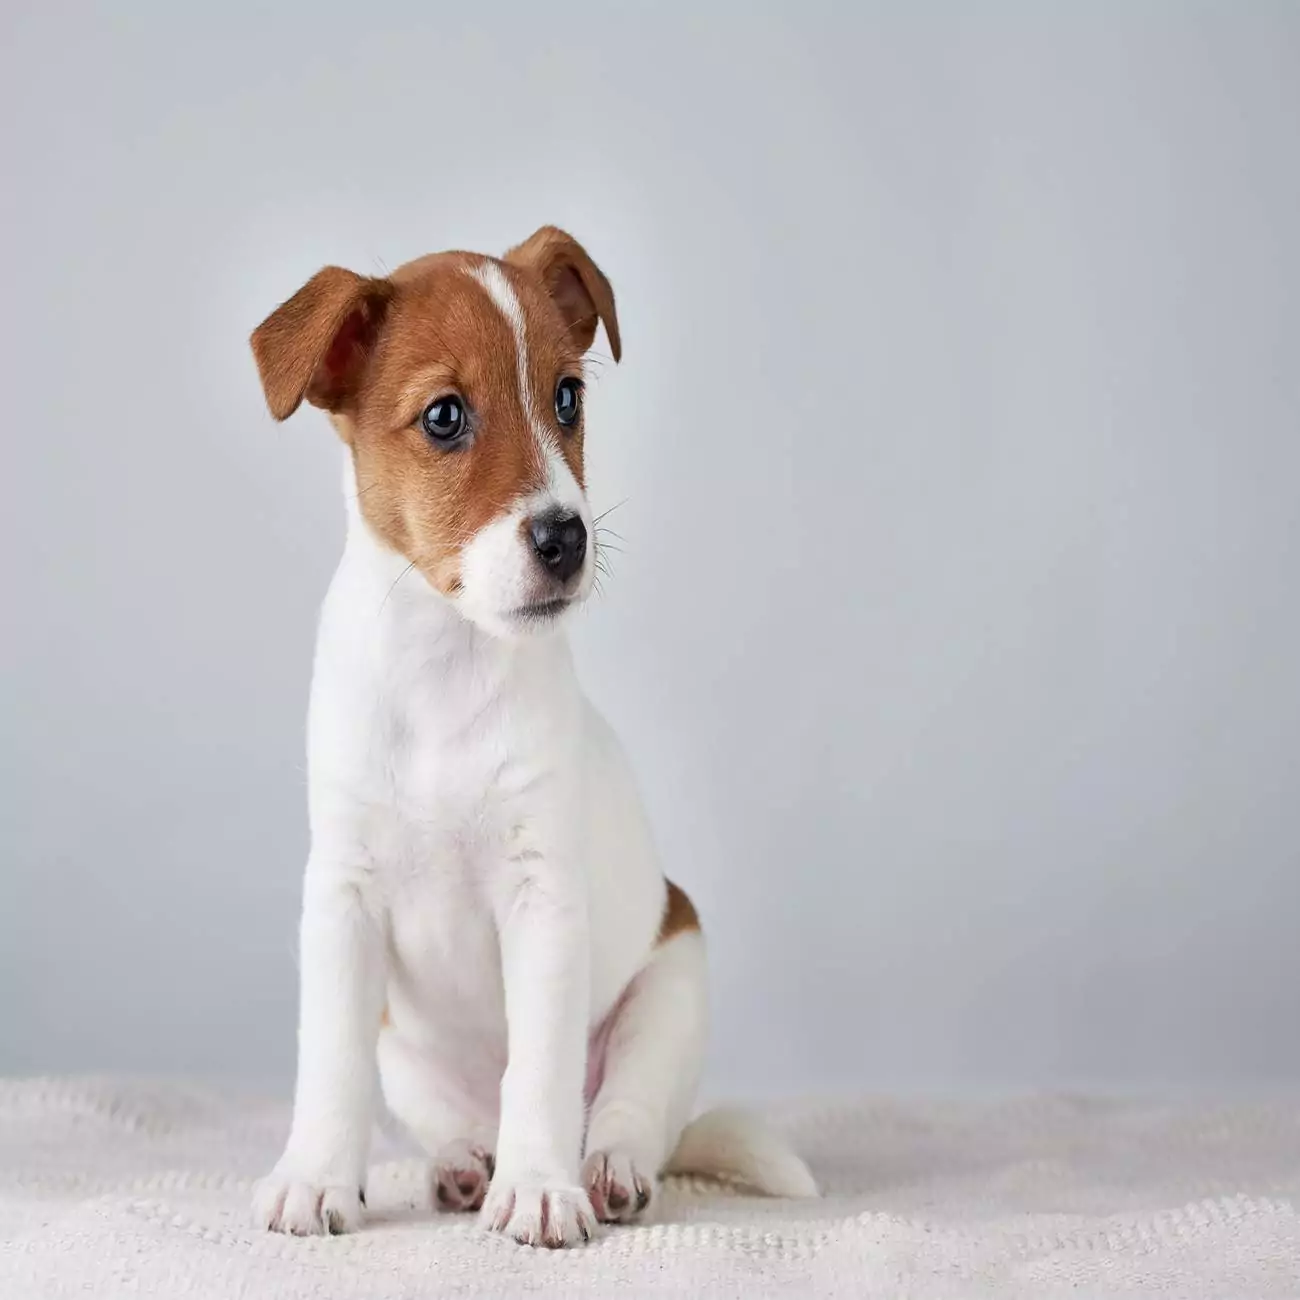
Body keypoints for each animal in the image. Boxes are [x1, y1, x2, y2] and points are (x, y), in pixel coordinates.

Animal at [245, 228, 811, 1242]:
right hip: (406, 1050)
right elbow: (328, 1068)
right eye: (444, 417)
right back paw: (466, 1163)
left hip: (671, 989)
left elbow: (539, 1071)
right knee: (457, 1115)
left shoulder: (542, 901)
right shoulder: (342, 902)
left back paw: (602, 1170)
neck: (445, 661)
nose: (565, 537)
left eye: (568, 398)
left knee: (625, 1114)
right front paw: (314, 1175)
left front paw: (541, 1188)